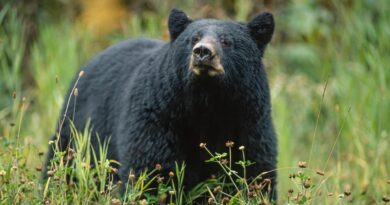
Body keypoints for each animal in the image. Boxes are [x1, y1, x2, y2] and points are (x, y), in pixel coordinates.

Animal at [45, 8, 278, 199]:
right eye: (193, 39)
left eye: (226, 41)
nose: (202, 52)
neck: (206, 103)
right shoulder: (159, 117)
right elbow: (152, 173)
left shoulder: (249, 121)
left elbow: (253, 172)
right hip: (77, 131)